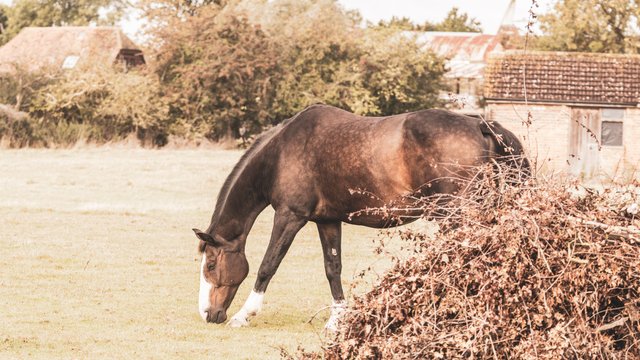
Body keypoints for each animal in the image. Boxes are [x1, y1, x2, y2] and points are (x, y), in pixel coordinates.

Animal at [192, 103, 528, 330]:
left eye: (211, 265)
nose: (208, 314)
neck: (281, 153)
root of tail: (480, 124)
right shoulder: (327, 221)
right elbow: (333, 268)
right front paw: (336, 320)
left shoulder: (290, 216)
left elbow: (267, 266)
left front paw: (244, 314)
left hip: (456, 215)